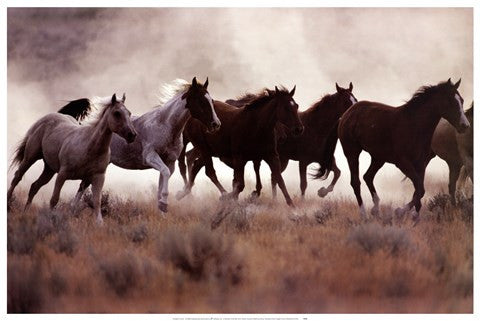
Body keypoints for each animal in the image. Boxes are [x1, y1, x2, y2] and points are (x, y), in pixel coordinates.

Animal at [81, 77, 221, 212]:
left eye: (211, 100)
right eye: (201, 101)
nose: (216, 124)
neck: (166, 126)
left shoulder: (170, 162)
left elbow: (161, 185)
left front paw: (162, 209)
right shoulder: (150, 157)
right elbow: (164, 175)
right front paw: (164, 204)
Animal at [176, 85, 304, 205]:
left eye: (296, 106)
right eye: (286, 108)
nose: (299, 129)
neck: (255, 126)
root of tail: (191, 116)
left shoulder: (271, 156)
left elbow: (279, 180)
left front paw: (292, 205)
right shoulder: (239, 159)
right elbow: (240, 185)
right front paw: (229, 198)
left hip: (211, 151)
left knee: (196, 165)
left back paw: (184, 192)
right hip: (204, 148)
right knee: (208, 171)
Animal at [316, 79, 468, 222]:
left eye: (461, 100)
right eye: (450, 101)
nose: (465, 125)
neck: (414, 125)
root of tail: (346, 114)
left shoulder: (421, 164)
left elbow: (419, 190)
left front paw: (414, 215)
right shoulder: (403, 163)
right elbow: (420, 188)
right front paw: (401, 212)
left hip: (378, 158)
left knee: (368, 176)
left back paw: (376, 209)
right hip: (352, 152)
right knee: (356, 182)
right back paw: (364, 214)